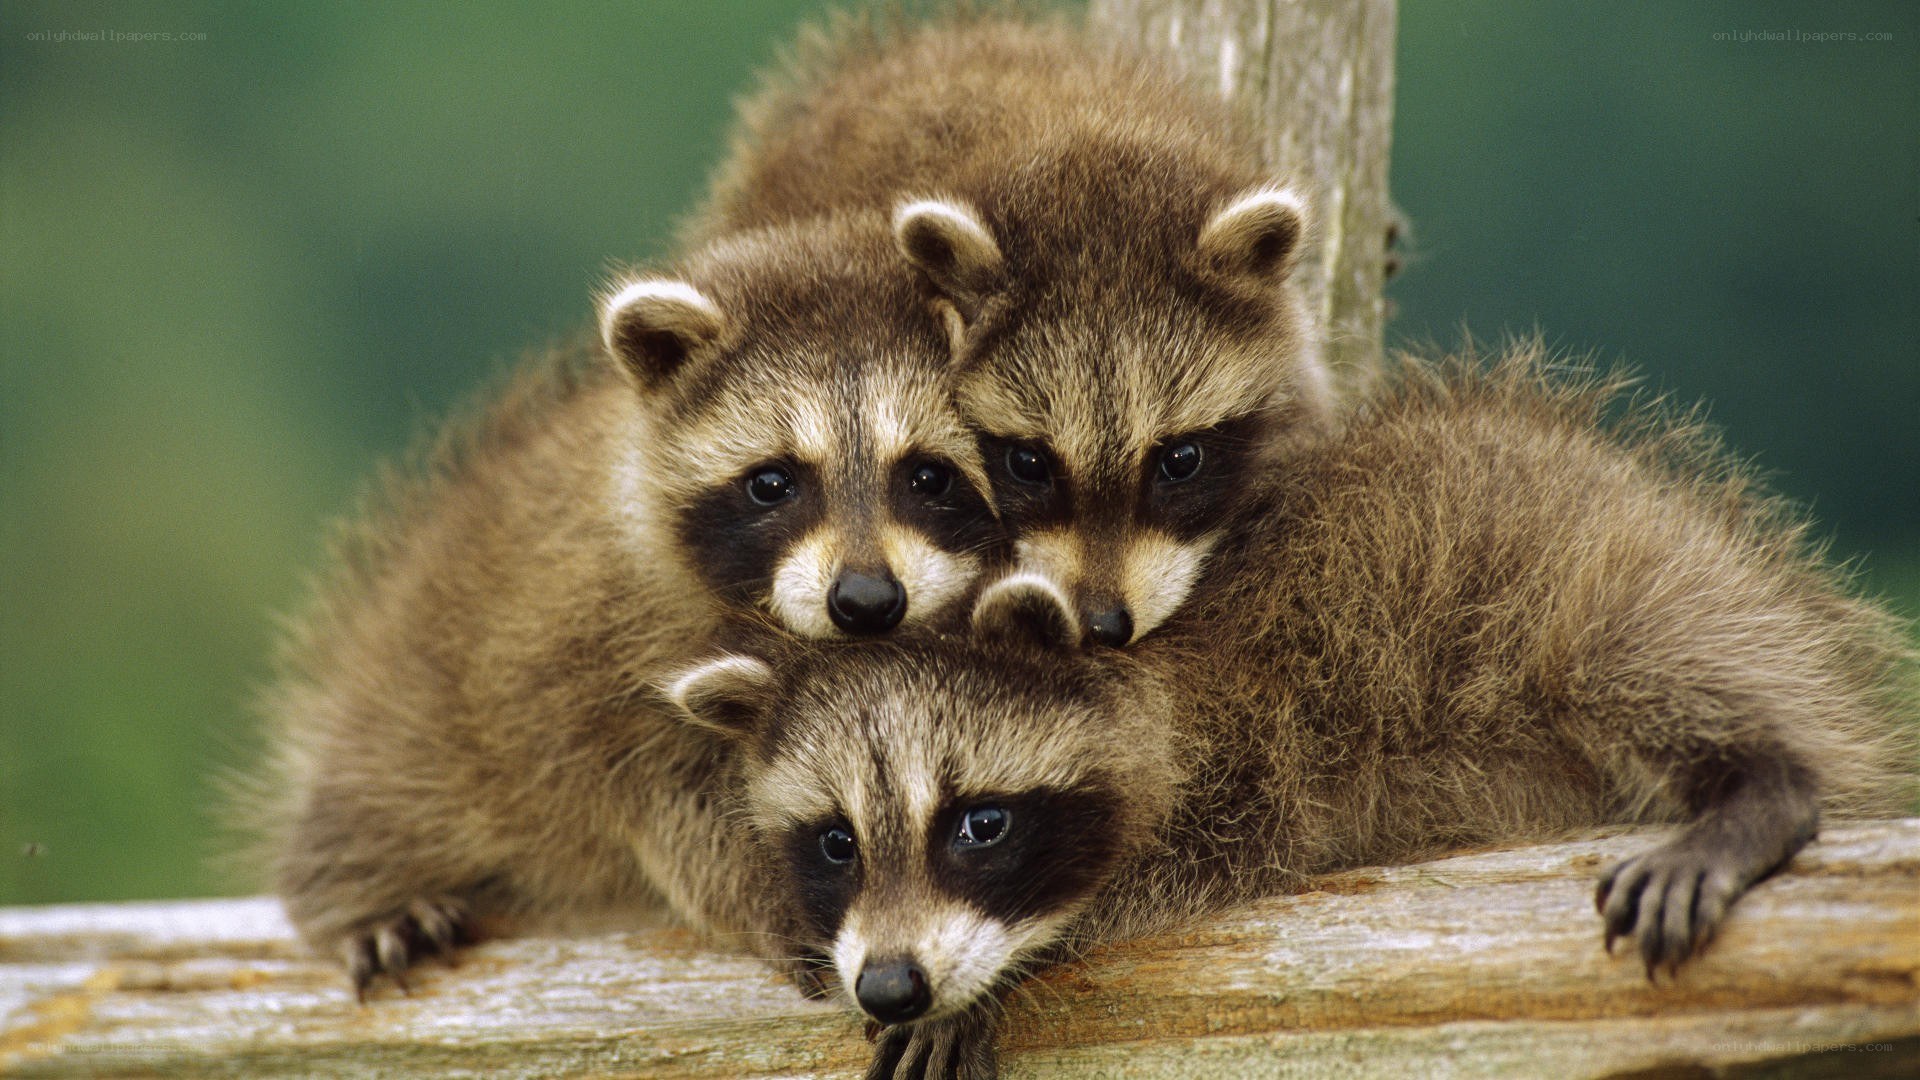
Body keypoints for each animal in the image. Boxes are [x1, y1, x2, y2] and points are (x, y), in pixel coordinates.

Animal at [254, 212, 1000, 994]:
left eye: (929, 475)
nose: (865, 599)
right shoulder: (594, 661)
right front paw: (789, 892)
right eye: (773, 482)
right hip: (413, 716)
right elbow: (676, 808)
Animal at [664, 347, 1913, 1079]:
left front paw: (1004, 969)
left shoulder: (1254, 743)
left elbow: (1173, 864)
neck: (1138, 668)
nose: (890, 982)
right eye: (835, 843)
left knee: (1640, 656)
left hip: (1602, 570)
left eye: (978, 825)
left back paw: (1764, 782)